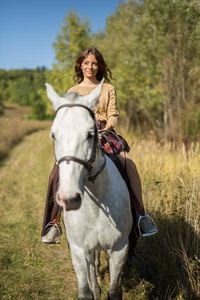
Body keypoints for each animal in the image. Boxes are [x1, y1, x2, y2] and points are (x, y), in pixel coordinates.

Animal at [45, 80, 133, 300]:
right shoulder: (78, 249)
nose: (69, 198)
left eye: (89, 134)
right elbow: (86, 290)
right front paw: (94, 289)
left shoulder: (120, 249)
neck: (96, 206)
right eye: (54, 135)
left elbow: (114, 290)